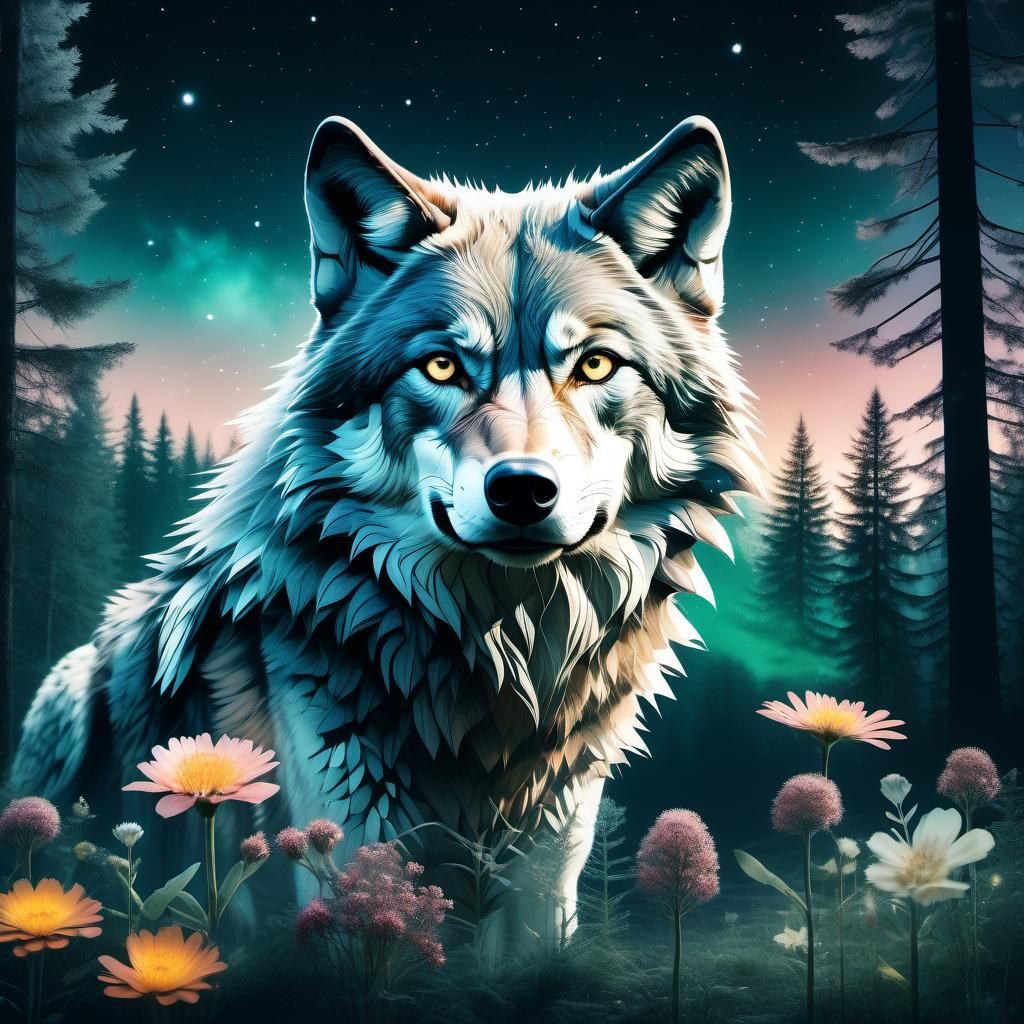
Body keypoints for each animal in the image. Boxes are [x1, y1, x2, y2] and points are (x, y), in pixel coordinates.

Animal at [12, 114, 759, 930]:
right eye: (441, 367)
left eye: (594, 365)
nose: (522, 491)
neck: (502, 652)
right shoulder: (348, 832)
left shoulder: (548, 867)